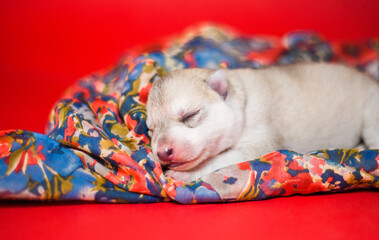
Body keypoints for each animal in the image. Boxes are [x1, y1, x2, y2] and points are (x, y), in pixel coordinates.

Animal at [146, 62, 379, 183]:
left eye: (189, 115)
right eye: (151, 129)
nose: (162, 152)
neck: (243, 100)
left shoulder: (258, 144)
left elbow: (220, 159)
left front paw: (183, 174)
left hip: (371, 110)